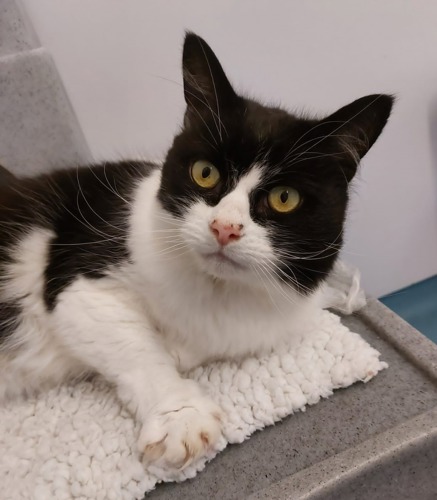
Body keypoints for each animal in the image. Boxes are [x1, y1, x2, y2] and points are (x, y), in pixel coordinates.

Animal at [0, 32, 392, 472]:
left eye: (284, 198)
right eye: (205, 172)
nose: (225, 228)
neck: (216, 288)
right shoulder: (80, 276)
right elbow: (131, 343)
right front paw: (180, 417)